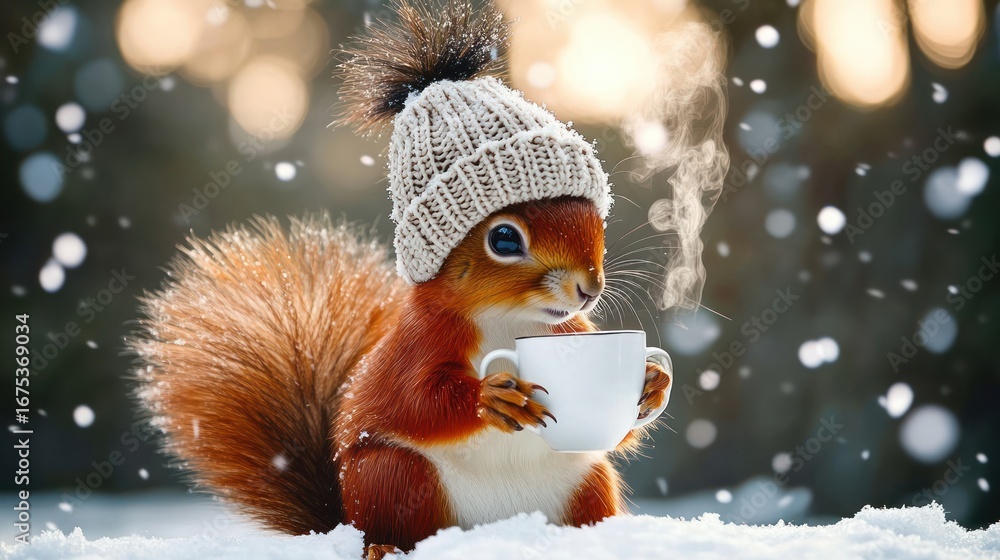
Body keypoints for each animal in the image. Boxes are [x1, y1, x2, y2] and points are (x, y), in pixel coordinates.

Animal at [129, 2, 672, 559]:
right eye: (504, 239)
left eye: (596, 220)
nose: (590, 288)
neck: (509, 320)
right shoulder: (420, 341)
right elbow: (415, 402)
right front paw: (487, 397)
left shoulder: (572, 333)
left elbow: (621, 432)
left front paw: (652, 384)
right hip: (395, 476)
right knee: (396, 518)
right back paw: (384, 547)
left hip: (587, 480)